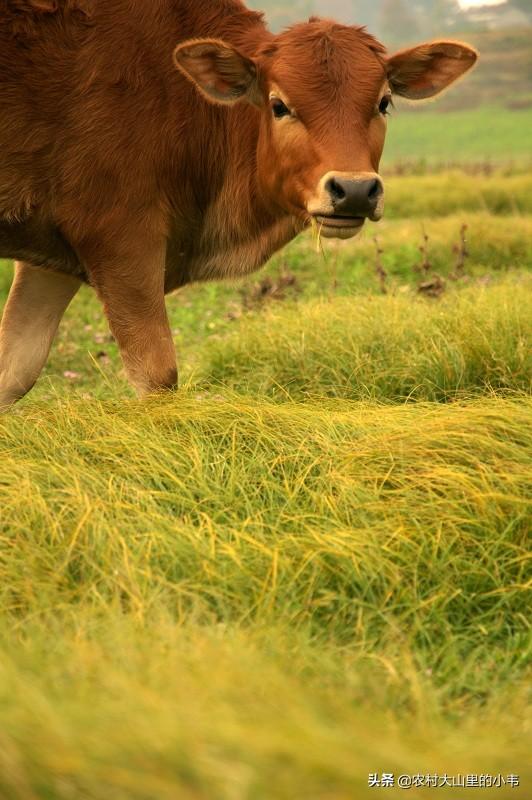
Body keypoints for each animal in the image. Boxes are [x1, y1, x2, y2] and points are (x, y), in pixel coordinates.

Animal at [0, 1, 476, 406]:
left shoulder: (53, 255)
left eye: (384, 102)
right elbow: (157, 375)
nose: (355, 190)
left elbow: (14, 370)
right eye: (279, 105)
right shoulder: (120, 237)